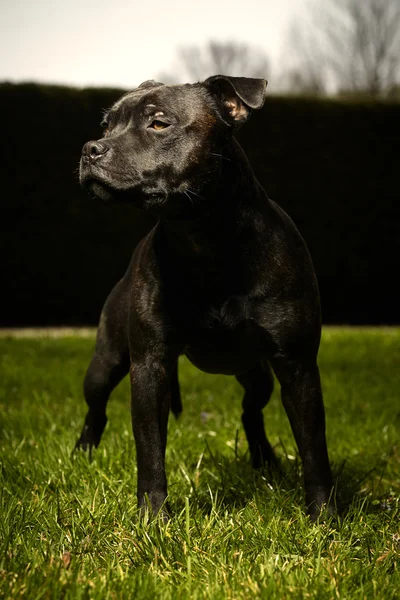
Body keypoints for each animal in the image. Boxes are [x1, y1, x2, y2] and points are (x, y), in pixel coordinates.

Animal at [76, 76, 332, 520]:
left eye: (159, 123)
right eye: (107, 126)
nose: (91, 147)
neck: (202, 237)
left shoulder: (297, 365)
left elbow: (314, 447)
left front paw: (325, 517)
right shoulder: (150, 367)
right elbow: (150, 450)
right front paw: (153, 518)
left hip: (257, 373)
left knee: (251, 412)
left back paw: (266, 462)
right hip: (106, 362)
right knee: (96, 409)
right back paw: (83, 454)